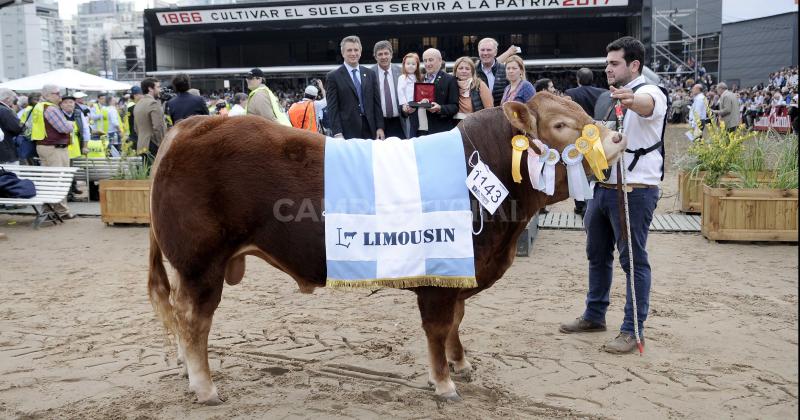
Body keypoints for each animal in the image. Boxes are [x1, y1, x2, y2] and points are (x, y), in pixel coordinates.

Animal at [148, 92, 624, 404]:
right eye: (560, 125)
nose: (616, 139)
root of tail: (191, 125)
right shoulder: (437, 279)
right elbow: (438, 329)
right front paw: (444, 384)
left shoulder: (460, 273)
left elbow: (456, 323)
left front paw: (461, 365)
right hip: (200, 263)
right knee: (194, 320)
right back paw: (206, 387)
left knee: (182, 316)